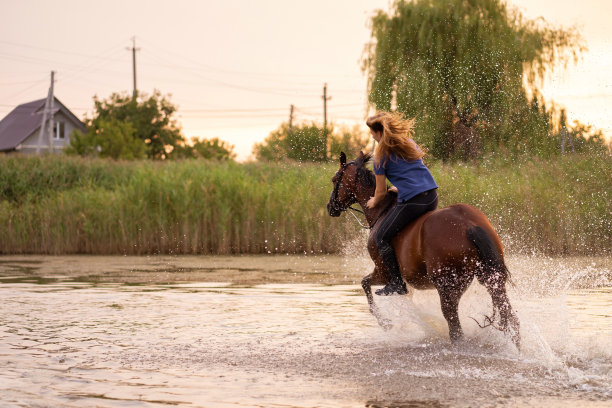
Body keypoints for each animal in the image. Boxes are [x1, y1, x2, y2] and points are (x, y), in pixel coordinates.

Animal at [328, 151, 520, 350]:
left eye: (335, 179)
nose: (330, 207)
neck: (381, 211)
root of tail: (469, 225)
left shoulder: (383, 272)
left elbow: (365, 284)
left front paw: (385, 322)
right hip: (491, 279)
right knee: (510, 318)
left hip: (448, 287)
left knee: (456, 329)